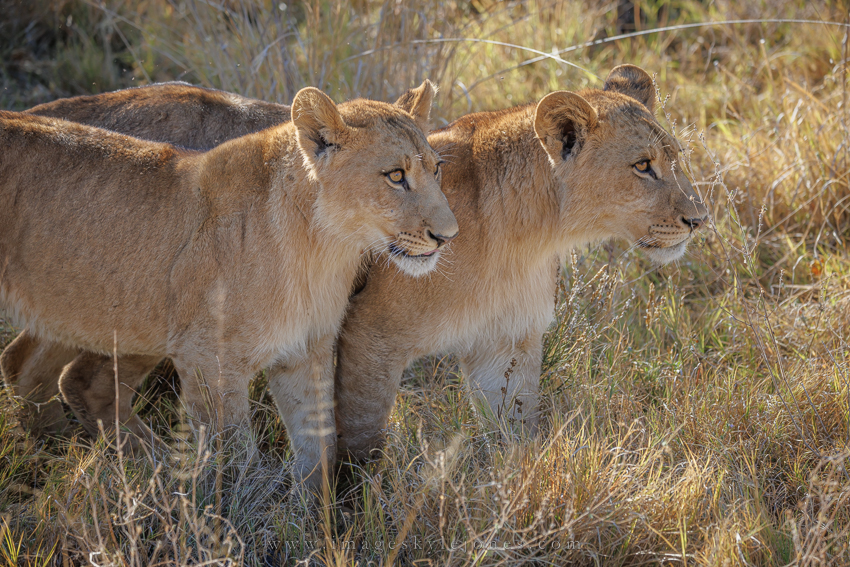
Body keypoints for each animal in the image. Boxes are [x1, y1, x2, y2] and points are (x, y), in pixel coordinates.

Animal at [0, 81, 458, 488]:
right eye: (395, 176)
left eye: (437, 169)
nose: (448, 236)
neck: (322, 247)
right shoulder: (209, 360)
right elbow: (236, 460)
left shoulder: (305, 352)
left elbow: (318, 451)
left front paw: (316, 519)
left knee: (35, 368)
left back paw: (86, 459)